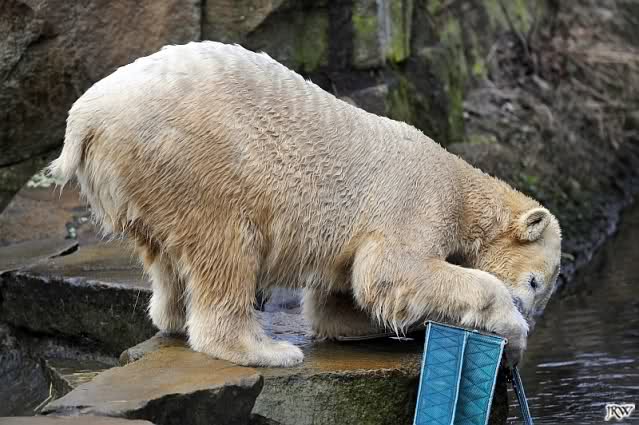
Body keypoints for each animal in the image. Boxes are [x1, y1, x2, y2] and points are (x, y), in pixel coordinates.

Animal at [49, 41, 562, 367]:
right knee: (225, 245)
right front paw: (511, 328)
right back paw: (266, 350)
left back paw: (173, 316)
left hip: (142, 177)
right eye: (535, 283)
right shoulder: (415, 199)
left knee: (164, 255)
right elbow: (391, 270)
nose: (528, 310)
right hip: (195, 158)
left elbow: (339, 301)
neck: (460, 184)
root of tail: (85, 121)